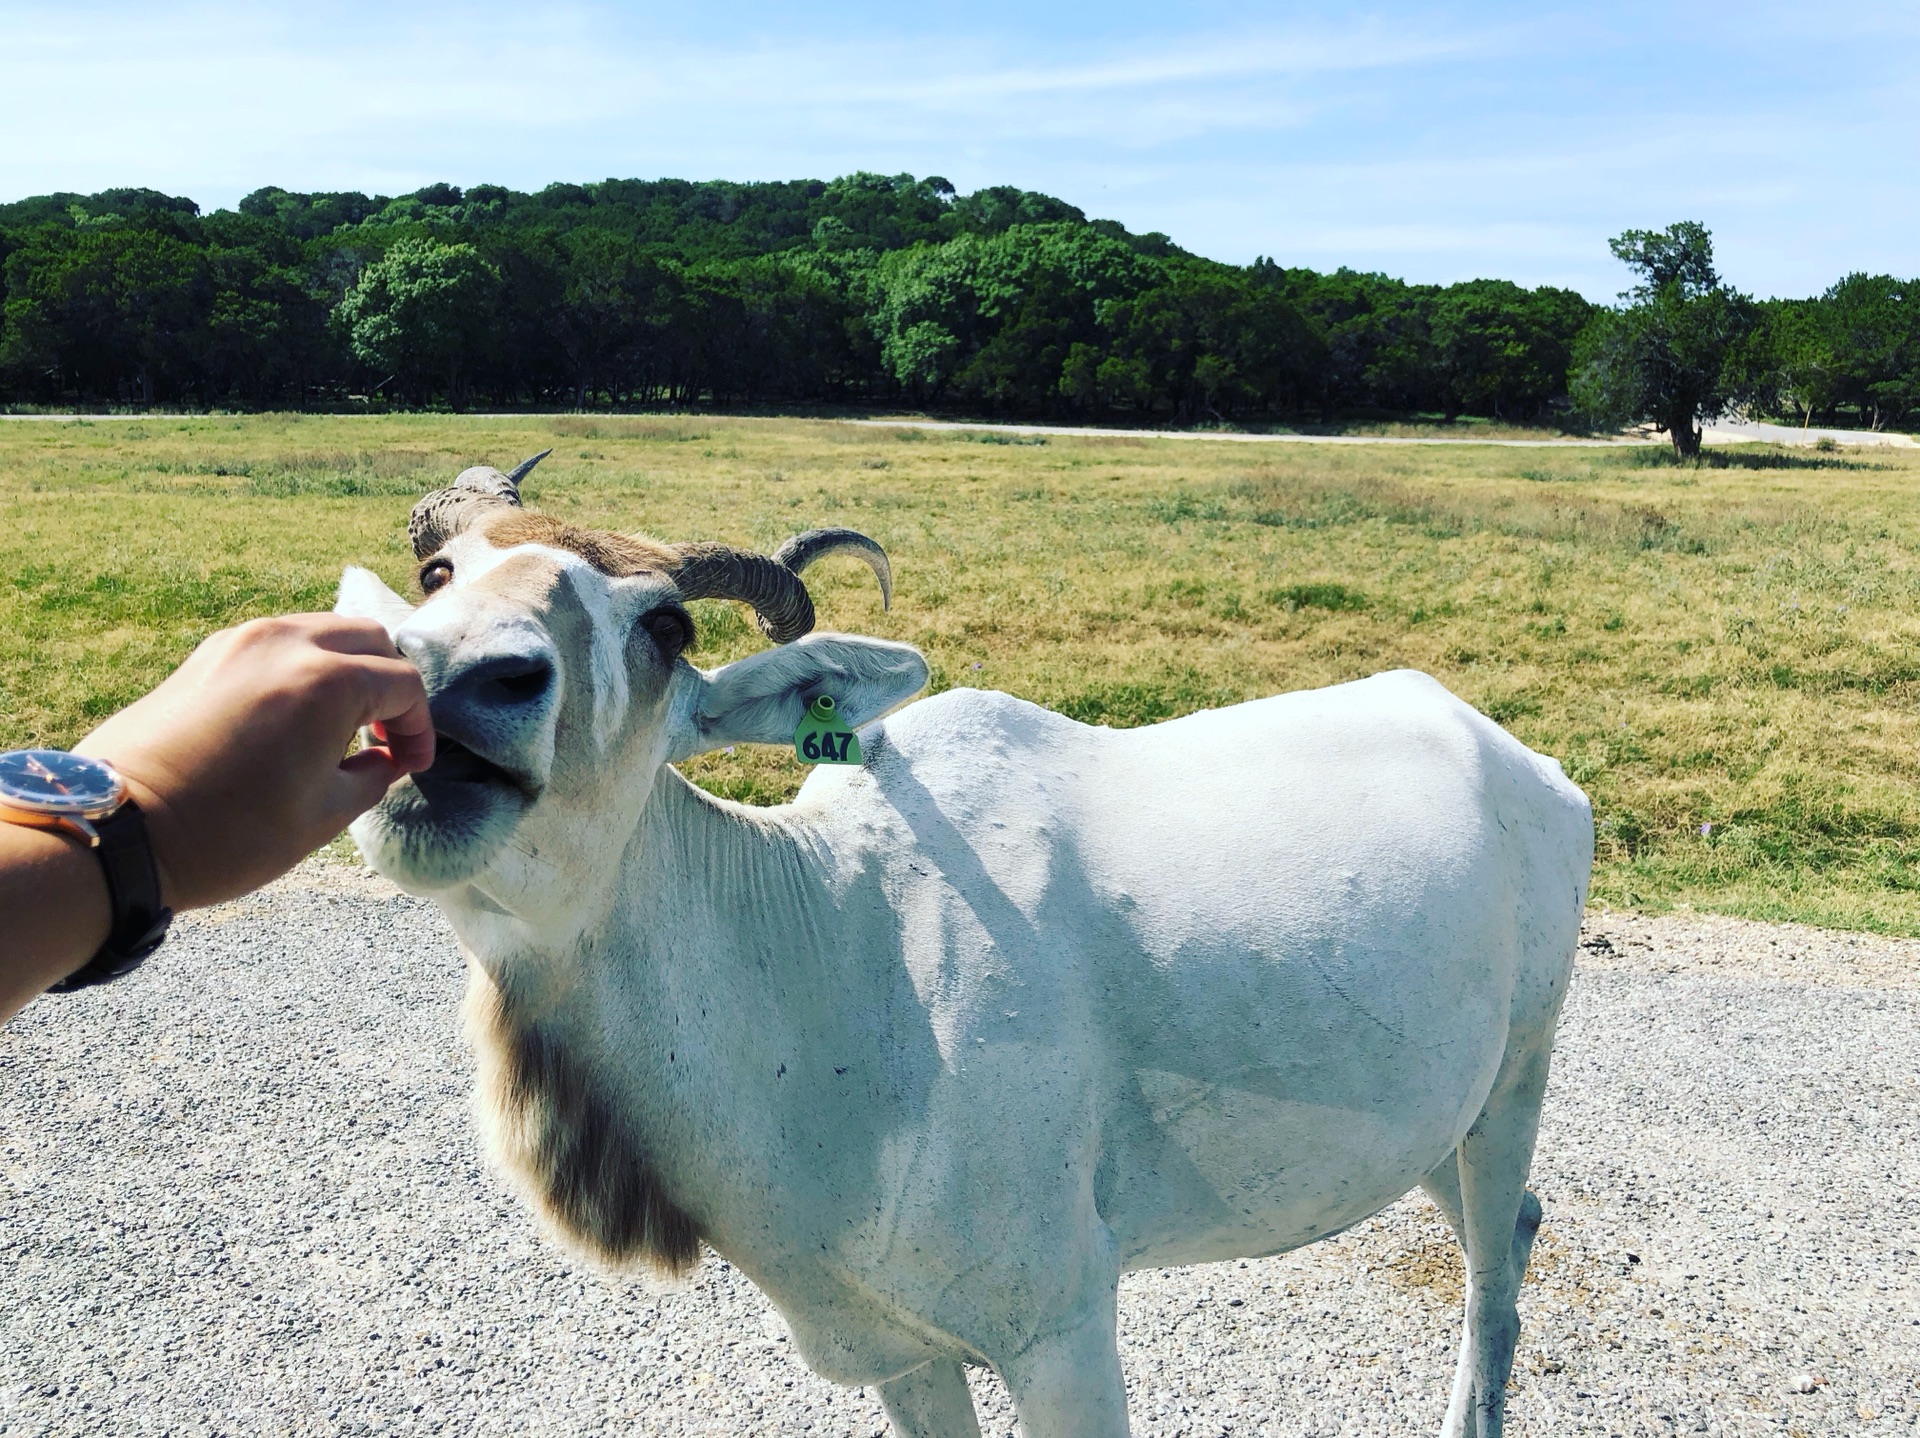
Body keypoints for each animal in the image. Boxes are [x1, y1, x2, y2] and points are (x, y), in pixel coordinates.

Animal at [341, 455, 1589, 1428]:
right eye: (440, 576)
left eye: (665, 624)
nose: (449, 681)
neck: (832, 942)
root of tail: (1520, 761)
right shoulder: (900, 1354)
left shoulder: (1063, 1330)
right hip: (1437, 1124)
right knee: (1517, 1222)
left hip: (1516, 1078)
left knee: (1492, 1262)